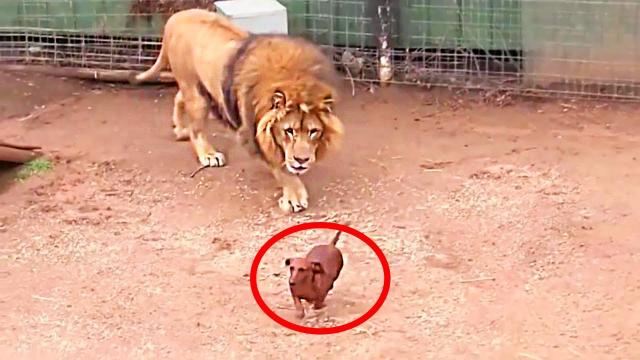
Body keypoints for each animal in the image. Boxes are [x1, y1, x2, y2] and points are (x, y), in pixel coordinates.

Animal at [129, 8, 344, 212]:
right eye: (288, 131)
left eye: (313, 131)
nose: (302, 160)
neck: (294, 78)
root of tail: (174, 18)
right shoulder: (251, 133)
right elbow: (279, 166)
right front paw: (294, 197)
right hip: (196, 93)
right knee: (196, 129)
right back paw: (208, 154)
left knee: (178, 97)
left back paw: (180, 130)